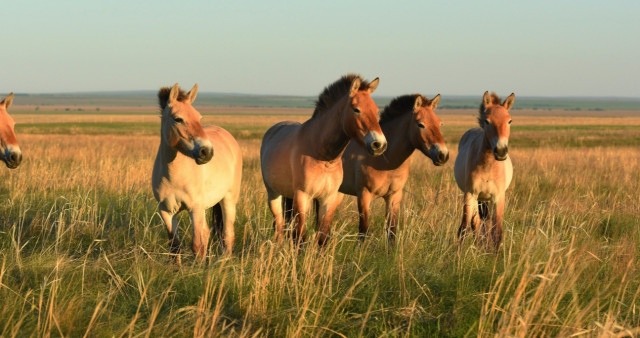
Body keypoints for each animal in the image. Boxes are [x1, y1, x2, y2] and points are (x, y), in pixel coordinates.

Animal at [152, 83, 242, 258]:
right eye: (178, 119)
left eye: (199, 118)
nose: (207, 152)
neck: (174, 175)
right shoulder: (166, 211)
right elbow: (175, 246)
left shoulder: (195, 209)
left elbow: (197, 245)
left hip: (228, 200)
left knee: (227, 234)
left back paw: (225, 261)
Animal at [258, 74, 384, 246]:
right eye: (356, 109)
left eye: (377, 111)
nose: (379, 144)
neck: (323, 157)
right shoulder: (303, 196)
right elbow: (300, 237)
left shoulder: (327, 199)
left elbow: (322, 237)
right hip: (273, 195)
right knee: (279, 226)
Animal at [340, 93, 450, 242]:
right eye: (420, 124)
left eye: (439, 123)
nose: (442, 155)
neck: (385, 161)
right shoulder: (363, 195)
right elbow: (363, 231)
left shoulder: (394, 197)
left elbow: (391, 232)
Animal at [456, 91, 516, 250]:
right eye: (487, 121)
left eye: (509, 121)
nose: (500, 151)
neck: (488, 167)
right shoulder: (470, 194)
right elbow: (464, 228)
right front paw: (458, 254)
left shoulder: (498, 197)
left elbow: (497, 231)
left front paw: (494, 254)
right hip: (478, 198)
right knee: (476, 222)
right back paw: (478, 245)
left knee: (485, 223)